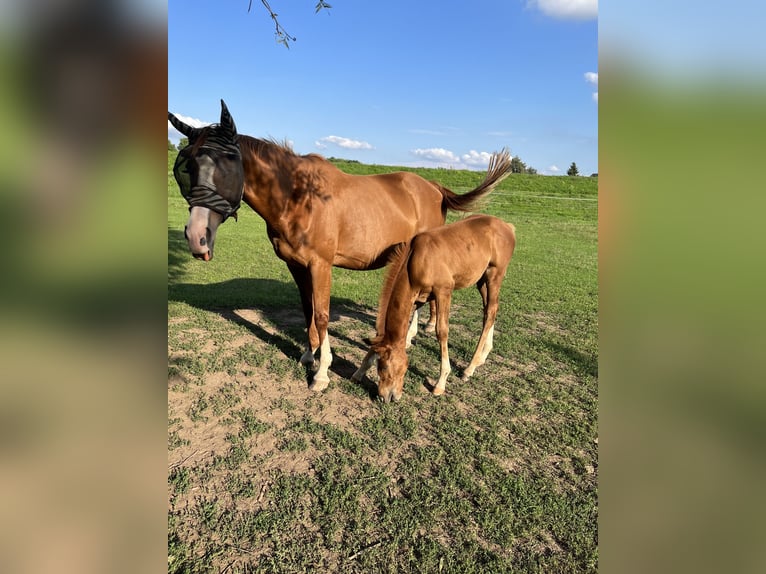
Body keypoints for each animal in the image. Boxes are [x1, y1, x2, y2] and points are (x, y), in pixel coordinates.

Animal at [352, 216, 516, 404]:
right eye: (379, 365)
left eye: (386, 367)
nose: (387, 397)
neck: (416, 260)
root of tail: (507, 227)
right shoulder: (419, 296)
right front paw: (358, 373)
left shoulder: (443, 291)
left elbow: (442, 331)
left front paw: (440, 383)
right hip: (481, 280)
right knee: (490, 309)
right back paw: (483, 356)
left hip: (494, 275)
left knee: (490, 312)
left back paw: (469, 368)